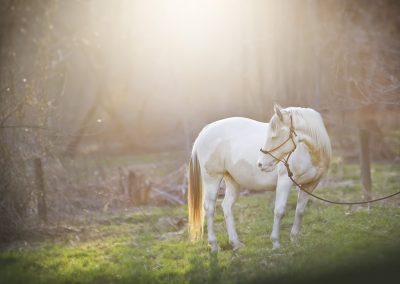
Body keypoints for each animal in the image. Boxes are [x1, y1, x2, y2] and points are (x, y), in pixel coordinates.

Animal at [188, 104, 332, 251]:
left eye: (274, 136)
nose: (260, 164)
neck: (309, 152)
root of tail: (205, 130)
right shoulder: (285, 181)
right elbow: (279, 211)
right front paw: (276, 243)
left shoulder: (310, 184)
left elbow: (300, 211)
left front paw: (295, 240)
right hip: (212, 178)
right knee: (209, 208)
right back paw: (214, 245)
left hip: (233, 181)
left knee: (226, 206)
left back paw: (236, 243)